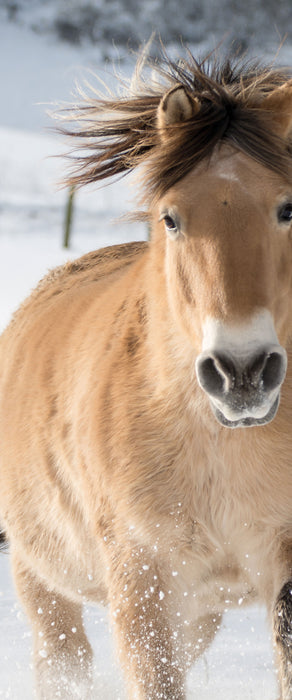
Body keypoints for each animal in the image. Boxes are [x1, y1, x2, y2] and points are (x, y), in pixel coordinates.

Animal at [0, 50, 292, 700]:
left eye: (288, 209)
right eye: (172, 218)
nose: (242, 373)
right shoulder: (143, 580)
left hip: (200, 611)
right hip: (44, 580)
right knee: (64, 662)